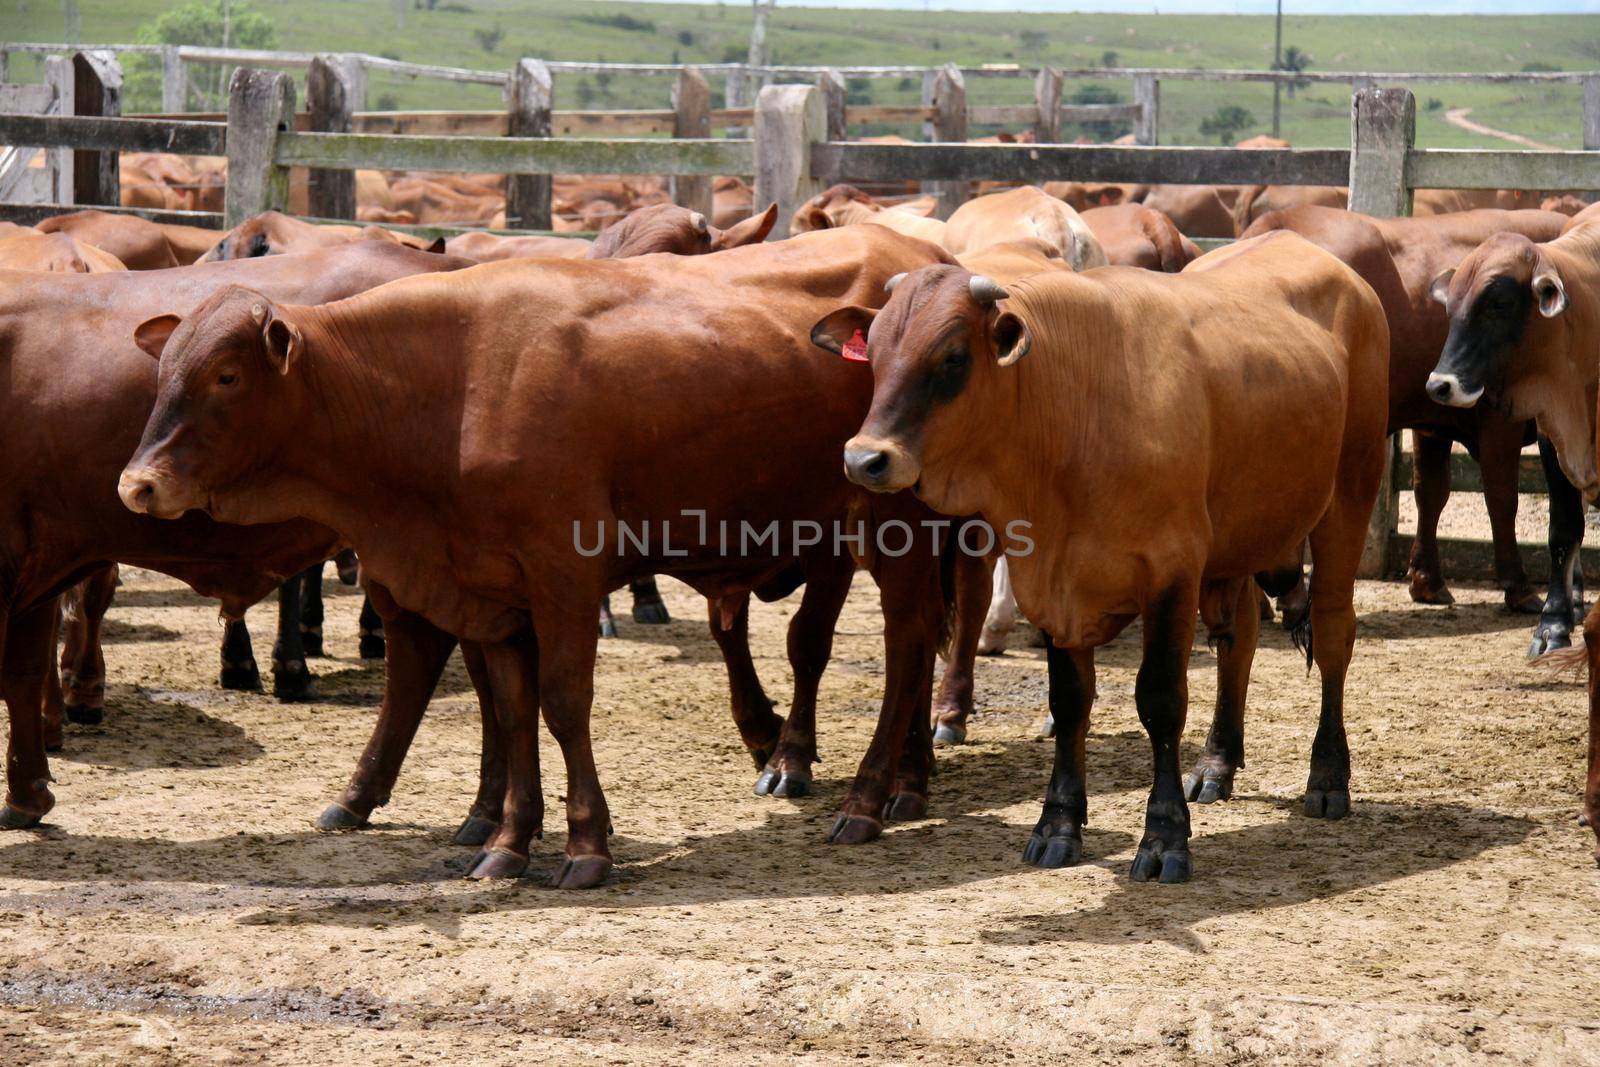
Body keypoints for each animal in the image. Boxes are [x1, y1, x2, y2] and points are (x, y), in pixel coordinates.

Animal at [118, 230, 953, 889]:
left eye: (226, 375)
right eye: (163, 375)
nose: (137, 483)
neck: (448, 387)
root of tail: (921, 251)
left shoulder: (564, 578)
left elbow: (562, 702)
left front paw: (585, 844)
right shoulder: (491, 594)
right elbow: (513, 711)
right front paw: (507, 841)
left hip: (893, 526)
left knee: (908, 642)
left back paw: (870, 796)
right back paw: (908, 779)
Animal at [825, 233, 1388, 883]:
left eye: (953, 357)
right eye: (874, 353)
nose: (864, 459)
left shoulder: (1171, 571)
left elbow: (1161, 701)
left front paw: (1165, 838)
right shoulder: (1051, 584)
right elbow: (1070, 703)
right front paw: (1057, 826)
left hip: (1348, 497)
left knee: (1334, 632)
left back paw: (1328, 776)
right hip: (1238, 542)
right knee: (1239, 638)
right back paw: (1216, 764)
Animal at [1241, 207, 1568, 633]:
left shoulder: (1433, 419)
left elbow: (1431, 493)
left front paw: (1427, 582)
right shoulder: (1500, 422)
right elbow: (1501, 500)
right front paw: (1520, 589)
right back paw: (1290, 602)